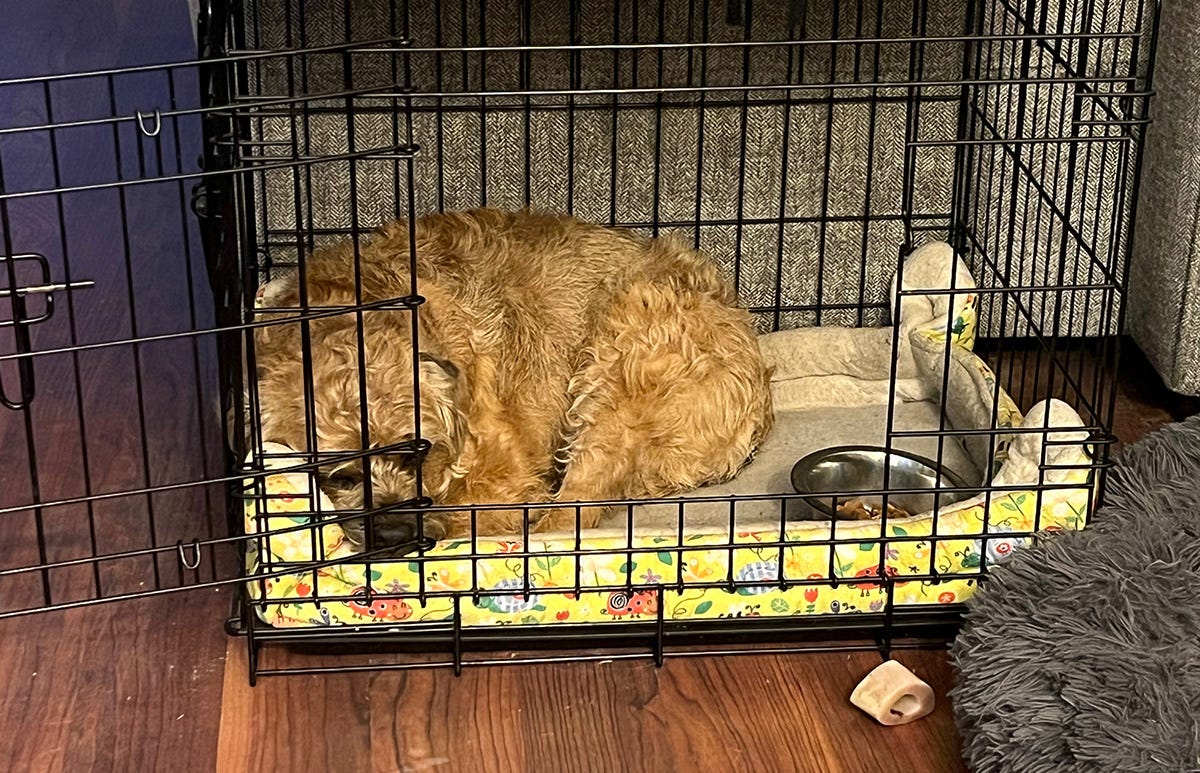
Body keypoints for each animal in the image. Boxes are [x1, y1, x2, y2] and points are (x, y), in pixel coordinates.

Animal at [256, 206, 772, 542]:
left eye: (419, 454)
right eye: (339, 476)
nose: (396, 532)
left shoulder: (503, 472)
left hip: (622, 357)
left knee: (575, 510)